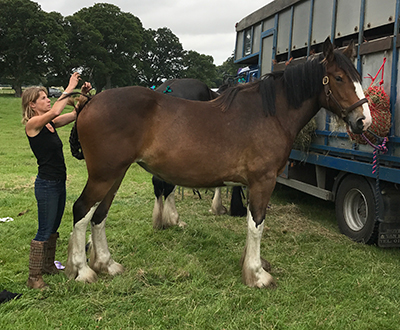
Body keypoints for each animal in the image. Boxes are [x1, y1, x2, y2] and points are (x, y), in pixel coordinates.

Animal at [65, 37, 372, 288]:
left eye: (357, 76)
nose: (364, 120)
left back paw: (106, 264)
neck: (269, 113)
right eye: (339, 77)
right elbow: (257, 224)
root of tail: (89, 102)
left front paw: (251, 265)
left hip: (114, 176)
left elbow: (251, 222)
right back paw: (82, 271)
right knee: (81, 210)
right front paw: (257, 274)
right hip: (104, 175)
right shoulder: (263, 181)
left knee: (99, 215)